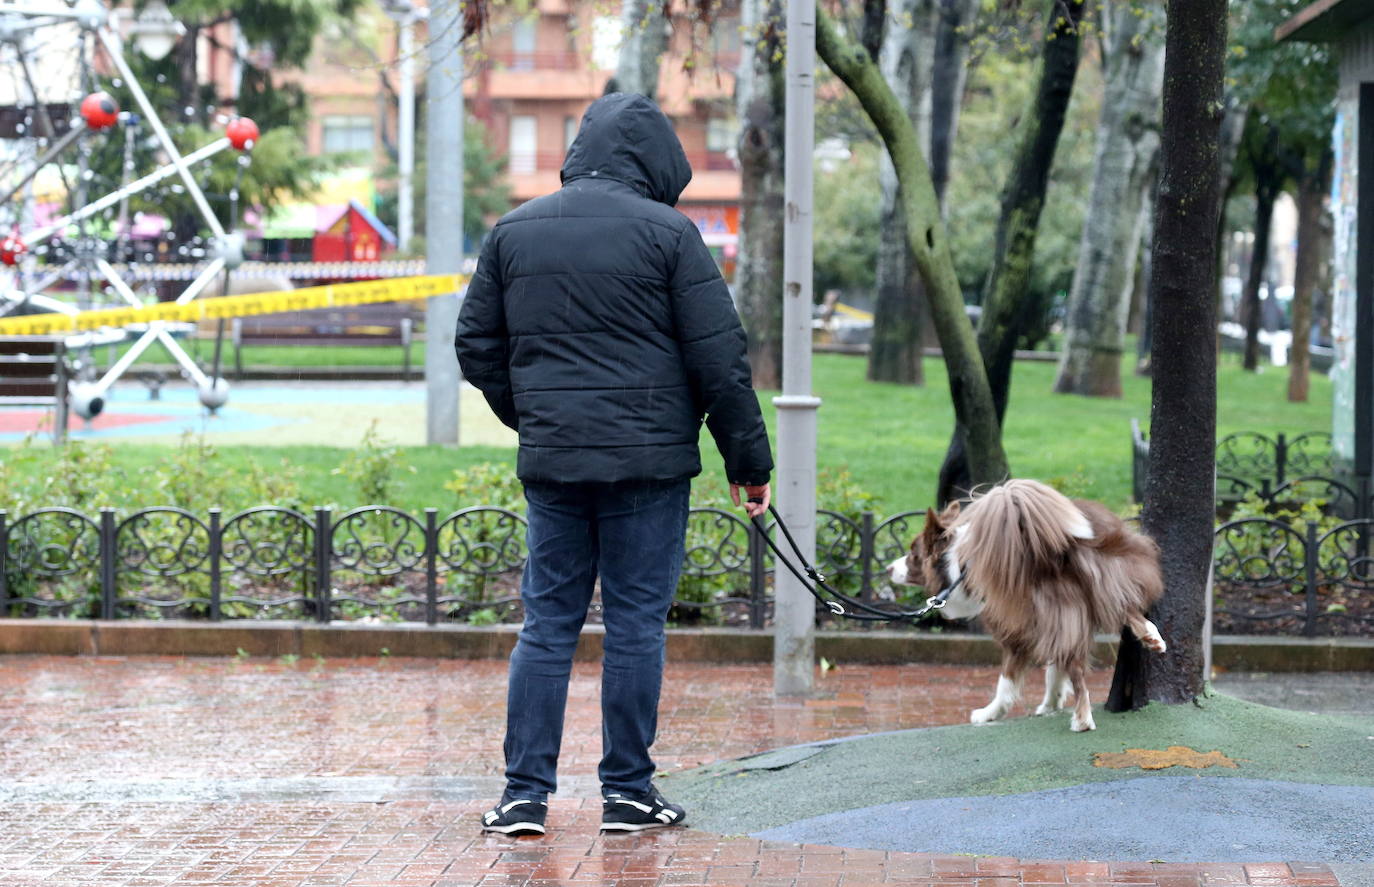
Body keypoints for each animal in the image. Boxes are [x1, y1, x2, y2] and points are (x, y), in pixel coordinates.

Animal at [890, 483, 1170, 735]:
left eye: (913, 554)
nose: (888, 568)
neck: (958, 566)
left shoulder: (1017, 631)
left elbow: (1007, 681)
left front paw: (989, 714)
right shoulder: (1060, 622)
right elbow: (1054, 671)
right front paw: (1050, 705)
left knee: (1078, 672)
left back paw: (1082, 720)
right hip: (1104, 576)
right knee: (1123, 605)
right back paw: (1152, 637)